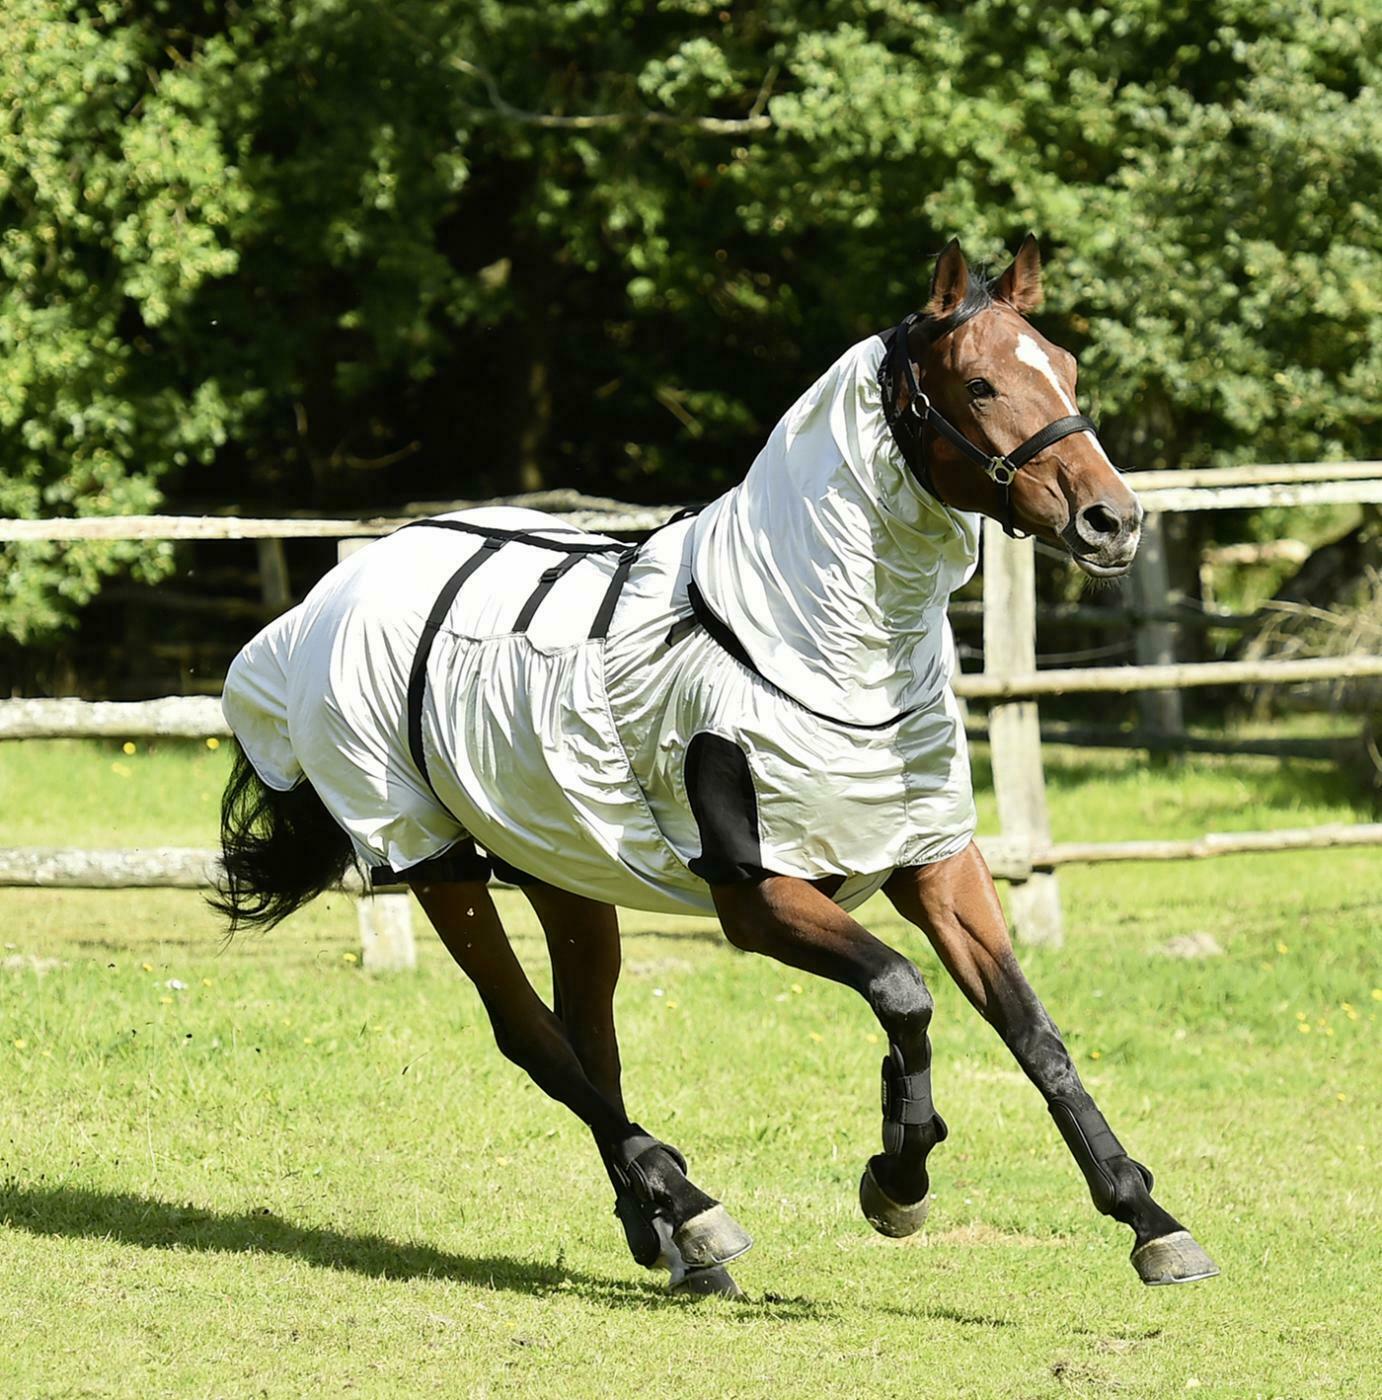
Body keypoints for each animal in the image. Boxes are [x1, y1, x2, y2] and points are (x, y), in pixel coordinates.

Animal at [215, 240, 1220, 1299]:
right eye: (980, 382)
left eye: (1064, 367)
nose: (1113, 521)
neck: (799, 646)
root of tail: (328, 598)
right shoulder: (758, 894)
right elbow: (903, 992)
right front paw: (898, 1176)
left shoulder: (936, 861)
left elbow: (1033, 1031)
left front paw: (1148, 1219)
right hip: (432, 862)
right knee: (532, 1037)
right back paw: (692, 1210)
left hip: (563, 869)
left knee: (590, 1039)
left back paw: (664, 1235)